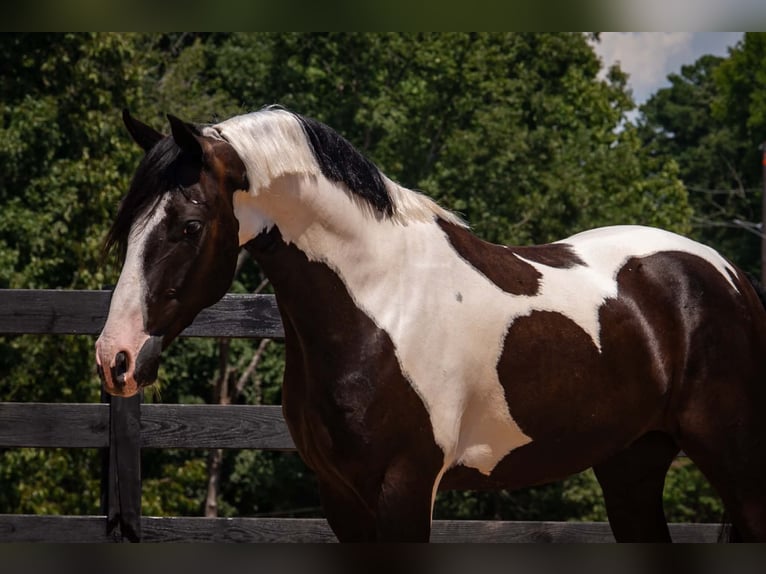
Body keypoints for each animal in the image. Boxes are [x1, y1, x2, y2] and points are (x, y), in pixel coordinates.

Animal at [96, 106, 766, 542]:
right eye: (127, 224)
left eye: (187, 226)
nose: (115, 358)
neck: (381, 303)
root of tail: (729, 274)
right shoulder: (341, 496)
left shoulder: (405, 487)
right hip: (632, 463)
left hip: (734, 462)